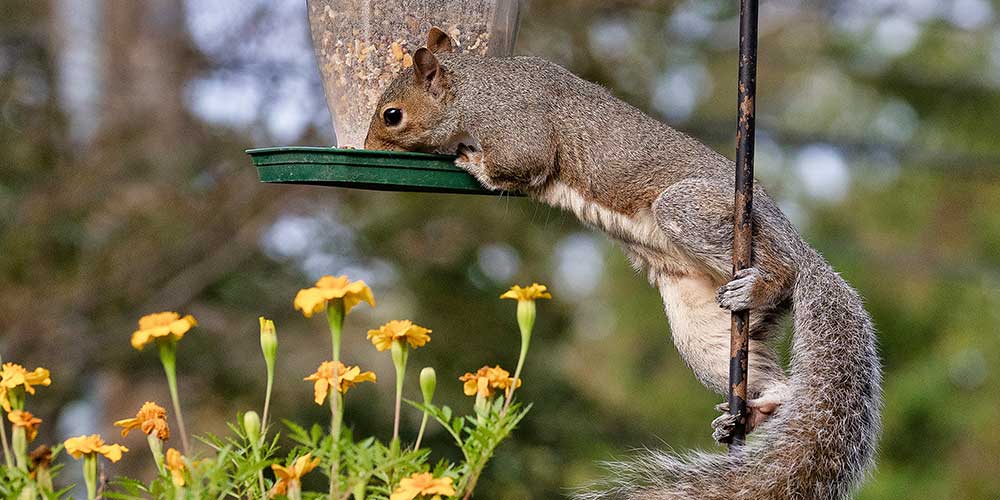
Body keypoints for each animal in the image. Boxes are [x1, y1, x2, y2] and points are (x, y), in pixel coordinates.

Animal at [366, 27, 884, 500]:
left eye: (393, 116)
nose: (368, 148)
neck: (475, 89)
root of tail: (799, 244)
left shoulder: (516, 127)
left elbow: (517, 162)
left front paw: (469, 160)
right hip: (701, 325)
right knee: (772, 382)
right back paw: (762, 407)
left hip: (703, 214)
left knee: (782, 270)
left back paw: (769, 282)